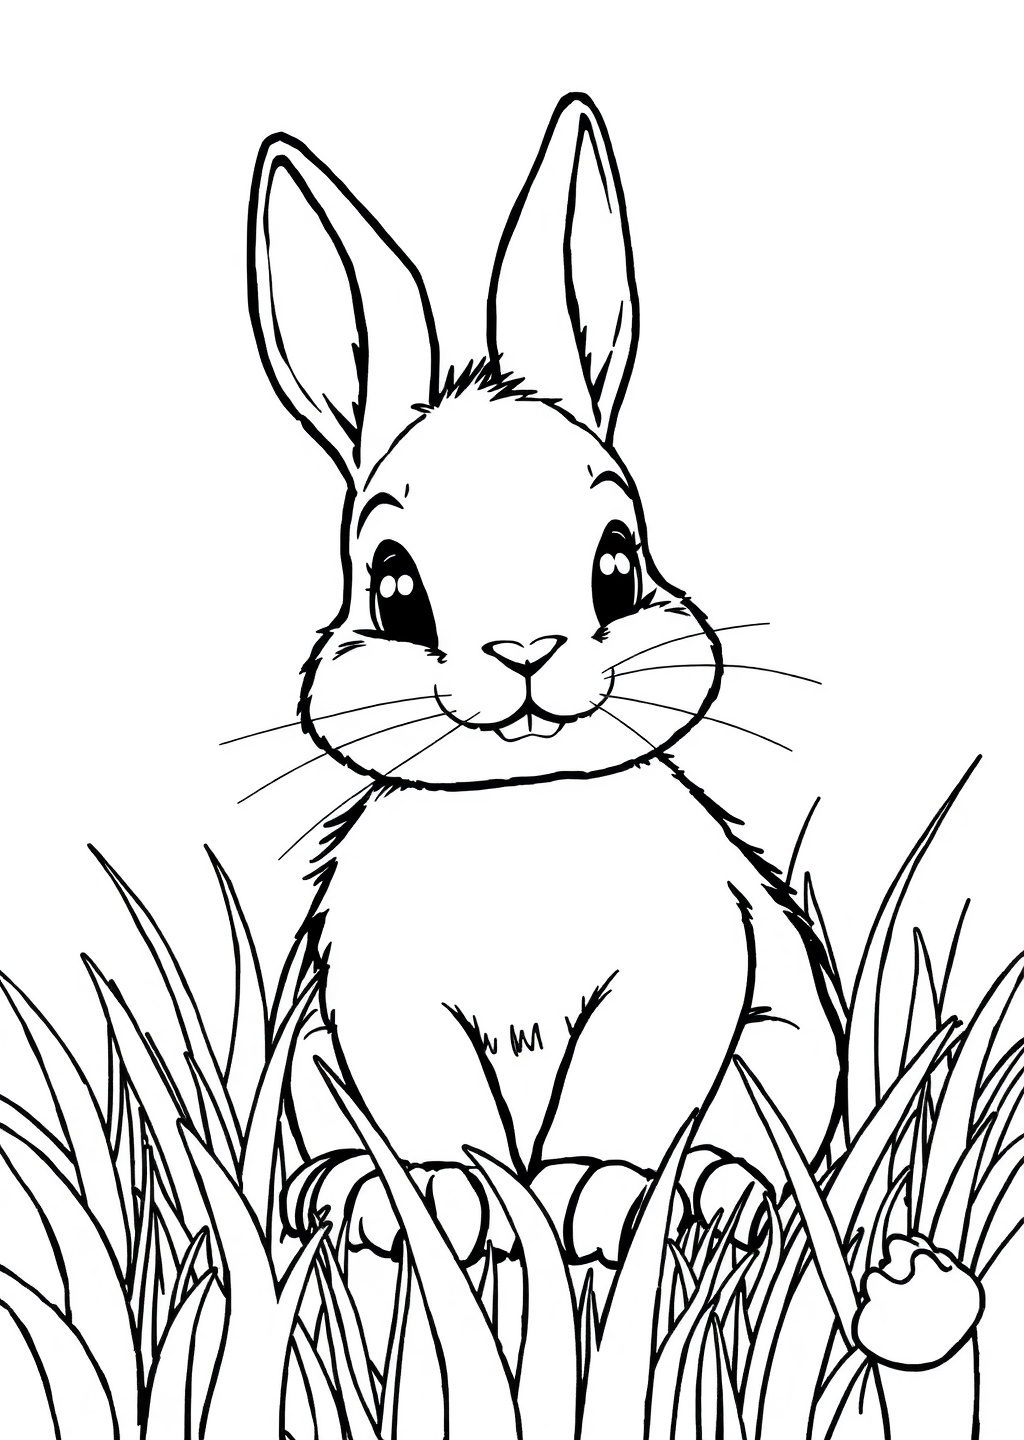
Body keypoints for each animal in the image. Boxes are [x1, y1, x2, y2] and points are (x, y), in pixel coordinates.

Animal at [247, 94, 843, 1265]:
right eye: (394, 588)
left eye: (617, 562)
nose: (526, 654)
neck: (520, 814)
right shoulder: (388, 1004)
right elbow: (436, 1113)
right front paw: (439, 1205)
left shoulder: (676, 978)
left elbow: (623, 1095)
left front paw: (593, 1201)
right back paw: (346, 1199)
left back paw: (718, 1197)